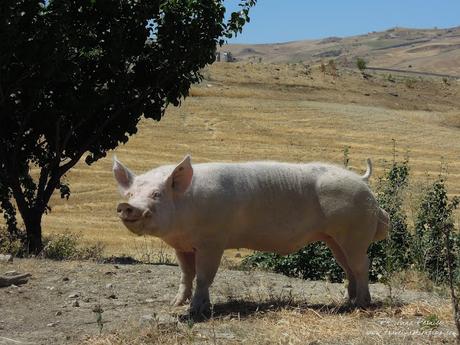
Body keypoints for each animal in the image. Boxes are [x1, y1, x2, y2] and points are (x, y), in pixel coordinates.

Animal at [113, 155, 390, 314]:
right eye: (131, 194)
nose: (126, 206)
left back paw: (362, 304)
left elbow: (203, 276)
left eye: (156, 194)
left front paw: (195, 311)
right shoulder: (182, 245)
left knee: (362, 264)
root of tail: (363, 182)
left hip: (354, 233)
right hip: (334, 239)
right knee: (348, 267)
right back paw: (348, 301)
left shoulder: (212, 241)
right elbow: (186, 275)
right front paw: (176, 304)